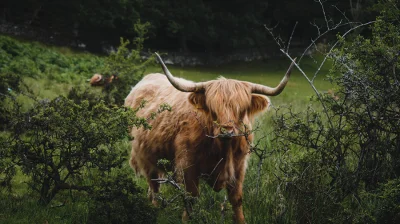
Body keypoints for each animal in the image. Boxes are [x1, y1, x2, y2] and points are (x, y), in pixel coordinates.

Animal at [126, 53, 296, 222]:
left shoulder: (239, 166)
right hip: (145, 157)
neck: (222, 149)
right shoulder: (187, 166)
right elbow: (191, 197)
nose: (227, 131)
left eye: (241, 110)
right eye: (213, 109)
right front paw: (186, 220)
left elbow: (236, 199)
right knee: (154, 186)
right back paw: (154, 209)